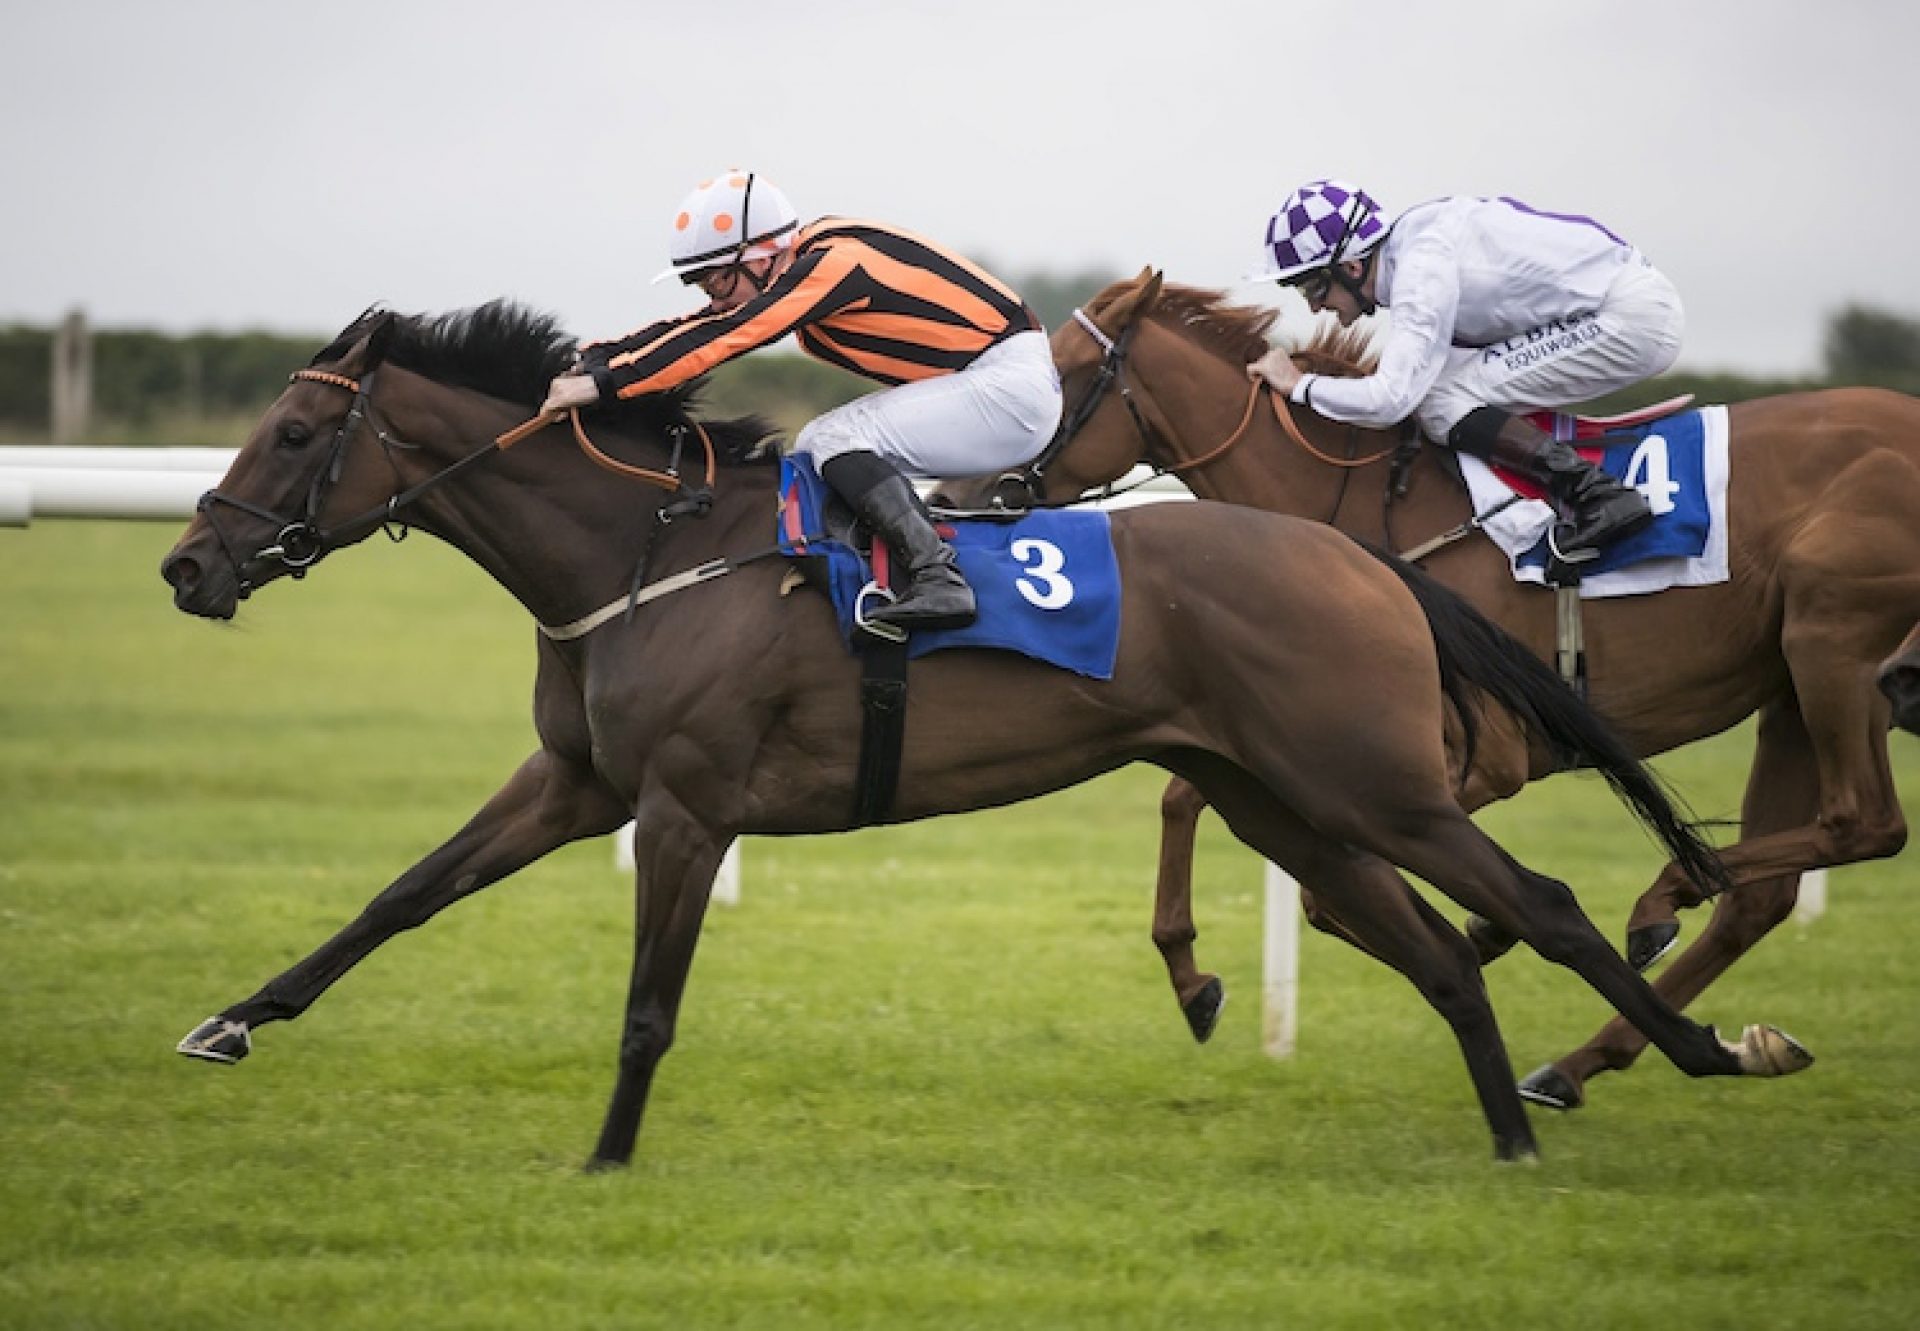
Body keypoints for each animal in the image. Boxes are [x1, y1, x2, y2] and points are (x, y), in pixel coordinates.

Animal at [153, 297, 1812, 1160]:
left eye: (293, 433)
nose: (186, 565)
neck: (641, 553)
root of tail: (1361, 558)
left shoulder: (684, 803)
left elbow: (646, 1004)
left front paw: (608, 1152)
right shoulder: (576, 781)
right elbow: (401, 893)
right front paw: (229, 1016)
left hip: (1377, 785)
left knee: (1542, 903)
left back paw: (1682, 1054)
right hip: (1279, 796)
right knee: (1436, 951)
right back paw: (1515, 1130)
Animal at [948, 270, 1920, 1113]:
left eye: (1062, 376)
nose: (958, 493)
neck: (1353, 495)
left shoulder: (1470, 754)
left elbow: (1313, 886)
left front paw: (1481, 933)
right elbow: (1186, 799)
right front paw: (1196, 978)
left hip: (1832, 640)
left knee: (1862, 821)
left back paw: (1659, 905)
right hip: (1787, 687)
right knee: (1765, 893)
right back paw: (1583, 1059)